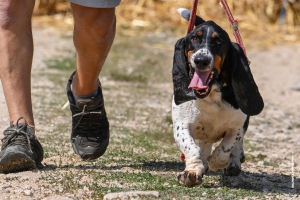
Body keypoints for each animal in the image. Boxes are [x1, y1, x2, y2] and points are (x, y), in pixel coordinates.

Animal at [172, 8, 264, 187]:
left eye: (218, 41)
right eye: (194, 38)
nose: (201, 60)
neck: (211, 96)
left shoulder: (237, 127)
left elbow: (225, 148)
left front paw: (217, 162)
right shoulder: (182, 126)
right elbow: (191, 149)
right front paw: (192, 172)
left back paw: (233, 163)